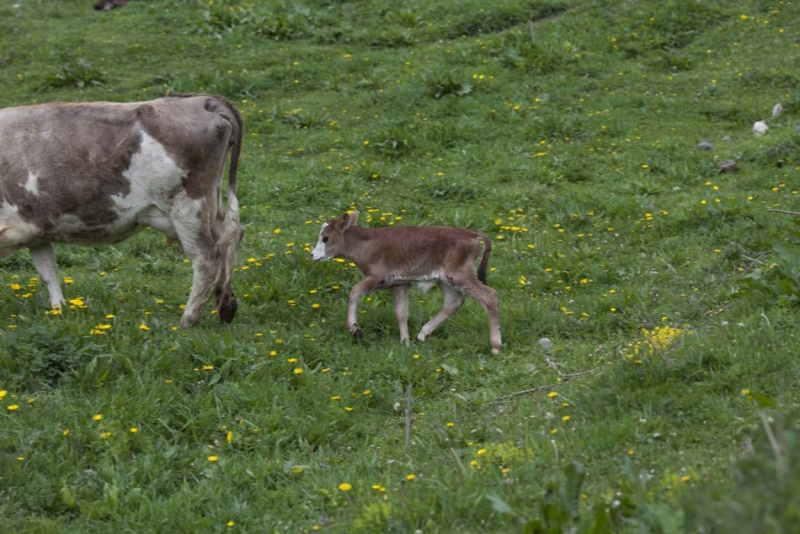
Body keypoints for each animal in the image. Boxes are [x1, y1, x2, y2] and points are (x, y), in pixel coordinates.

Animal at [0, 94, 244, 326]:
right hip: (209, 205)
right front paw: (59, 310)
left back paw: (189, 318)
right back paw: (226, 305)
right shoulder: (35, 230)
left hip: (187, 208)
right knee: (229, 237)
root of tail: (202, 100)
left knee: (206, 258)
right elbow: (49, 272)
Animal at [310, 213, 500, 356]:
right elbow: (401, 312)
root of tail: (469, 234)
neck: (365, 243)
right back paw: (423, 333)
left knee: (489, 296)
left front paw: (355, 329)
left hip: (460, 274)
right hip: (445, 278)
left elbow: (354, 292)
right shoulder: (399, 284)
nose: (312, 254)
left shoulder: (378, 277)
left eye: (325, 238)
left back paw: (496, 347)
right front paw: (405, 342)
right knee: (454, 301)